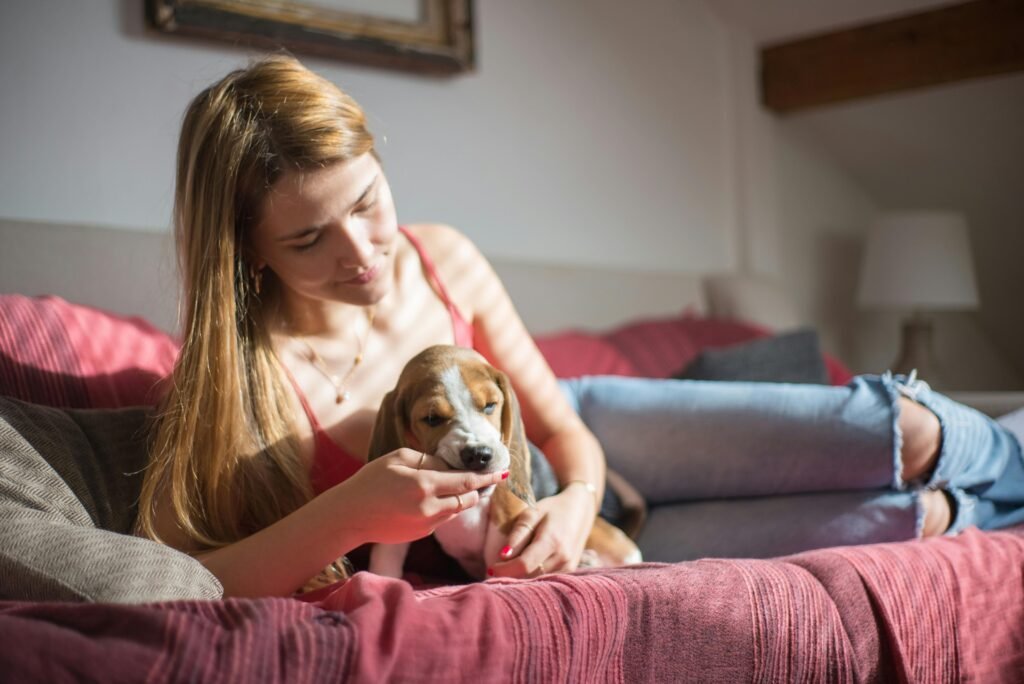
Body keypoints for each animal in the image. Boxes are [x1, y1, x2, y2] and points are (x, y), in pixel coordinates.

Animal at [366, 344, 638, 581]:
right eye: (432, 419)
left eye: (490, 406)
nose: (478, 454)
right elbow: (388, 551)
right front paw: (381, 579)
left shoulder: (507, 511)